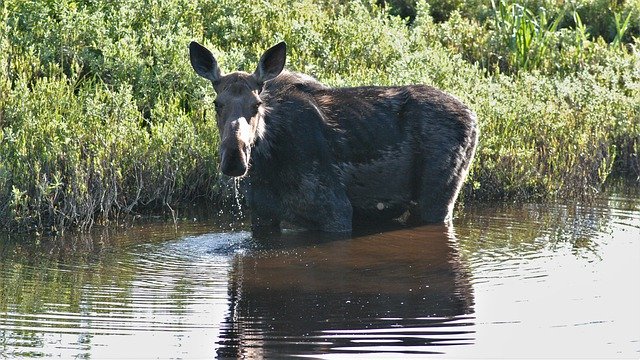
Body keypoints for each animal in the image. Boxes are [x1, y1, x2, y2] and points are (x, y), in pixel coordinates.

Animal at [188, 40, 478, 235]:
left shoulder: (334, 208)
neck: (268, 164)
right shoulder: (261, 214)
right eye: (217, 103)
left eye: (257, 104)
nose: (234, 158)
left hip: (437, 195)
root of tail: (473, 115)